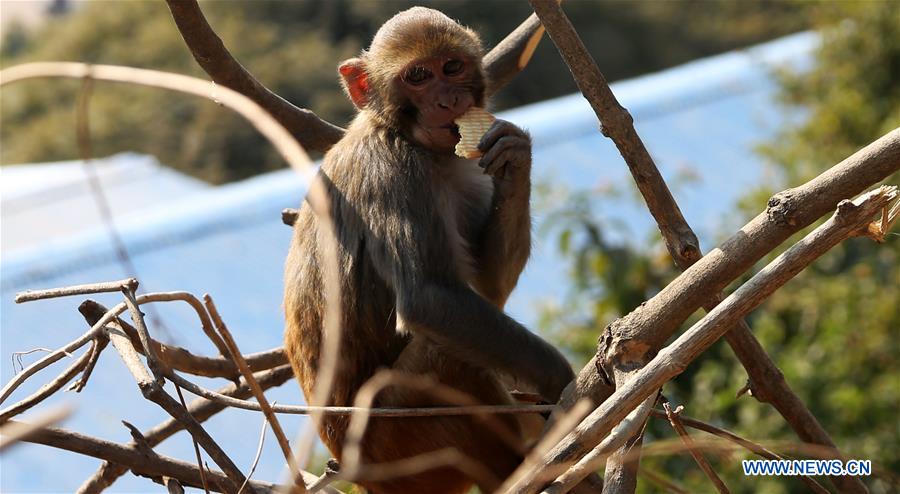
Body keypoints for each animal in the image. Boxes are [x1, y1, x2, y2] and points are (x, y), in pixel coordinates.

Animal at [284, 7, 572, 494]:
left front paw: (516, 156)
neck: (403, 135)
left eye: (451, 67)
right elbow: (430, 300)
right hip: (396, 443)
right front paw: (562, 381)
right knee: (447, 358)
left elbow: (489, 287)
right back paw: (520, 469)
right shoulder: (394, 176)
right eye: (418, 76)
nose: (447, 99)